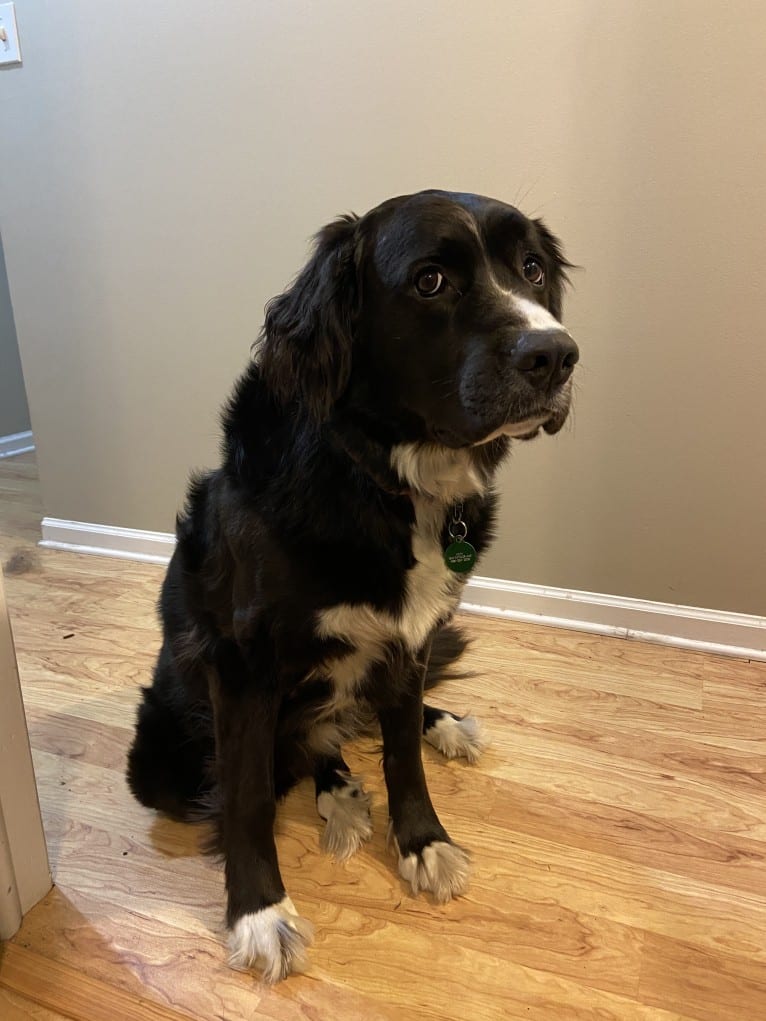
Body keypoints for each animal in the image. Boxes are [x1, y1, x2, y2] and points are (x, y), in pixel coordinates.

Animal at [127, 189, 580, 980]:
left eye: (531, 268)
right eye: (431, 281)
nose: (554, 354)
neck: (385, 481)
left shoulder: (413, 633)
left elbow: (402, 754)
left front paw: (424, 842)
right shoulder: (242, 665)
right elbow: (247, 795)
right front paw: (259, 912)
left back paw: (436, 726)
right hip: (165, 754)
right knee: (304, 741)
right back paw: (336, 793)